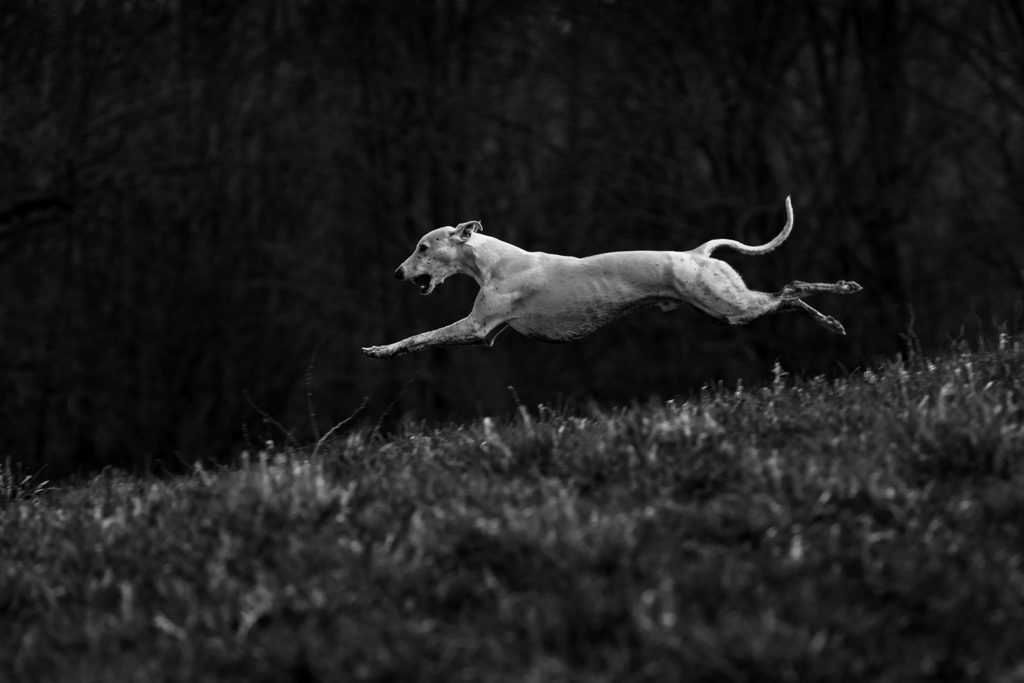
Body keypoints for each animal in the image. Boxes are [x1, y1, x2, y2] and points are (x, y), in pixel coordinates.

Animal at [364, 196, 860, 360]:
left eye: (422, 247)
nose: (397, 272)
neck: (494, 261)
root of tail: (697, 253)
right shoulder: (485, 333)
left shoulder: (476, 328)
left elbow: (420, 337)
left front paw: (381, 349)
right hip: (725, 306)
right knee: (787, 294)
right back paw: (839, 304)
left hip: (730, 306)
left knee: (789, 291)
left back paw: (837, 308)